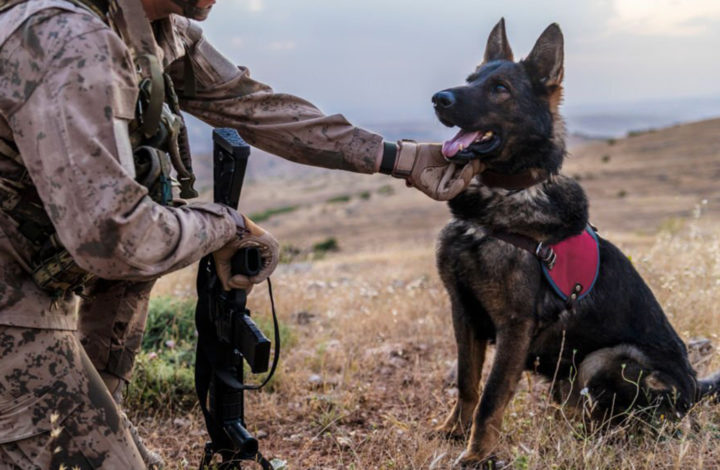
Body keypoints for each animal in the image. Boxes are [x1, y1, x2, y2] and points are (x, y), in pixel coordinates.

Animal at [434, 17, 720, 466]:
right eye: (470, 80)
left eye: (500, 88)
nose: (438, 99)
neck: (505, 196)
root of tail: (694, 389)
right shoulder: (463, 310)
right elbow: (467, 383)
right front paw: (453, 432)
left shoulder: (514, 325)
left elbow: (491, 397)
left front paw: (477, 455)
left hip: (606, 359)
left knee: (617, 419)